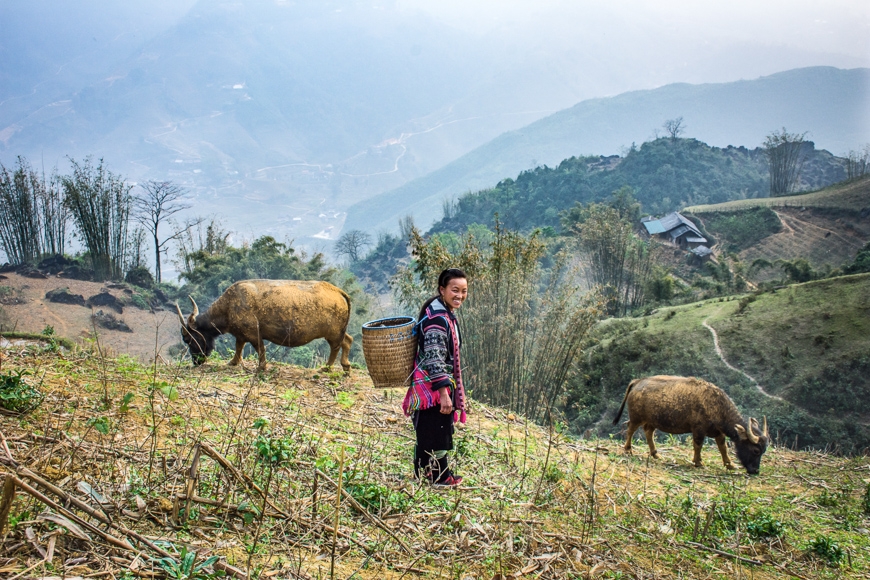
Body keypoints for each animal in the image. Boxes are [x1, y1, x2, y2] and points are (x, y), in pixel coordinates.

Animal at [175, 280, 352, 372]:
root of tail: (338, 291)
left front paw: (261, 366)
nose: (196, 361)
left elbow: (259, 349)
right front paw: (233, 362)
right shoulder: (241, 335)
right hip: (338, 332)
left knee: (336, 347)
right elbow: (239, 347)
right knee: (347, 341)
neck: (230, 305)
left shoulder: (253, 334)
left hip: (333, 334)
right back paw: (345, 366)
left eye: (188, 339)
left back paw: (327, 367)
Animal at [612, 376, 768, 476]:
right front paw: (698, 462)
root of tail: (637, 382)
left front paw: (730, 464)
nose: (755, 471)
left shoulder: (718, 432)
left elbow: (722, 447)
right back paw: (628, 450)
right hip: (636, 418)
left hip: (652, 421)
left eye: (763, 451)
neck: (716, 404)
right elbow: (698, 445)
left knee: (648, 432)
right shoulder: (698, 430)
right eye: (756, 450)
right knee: (630, 429)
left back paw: (656, 454)